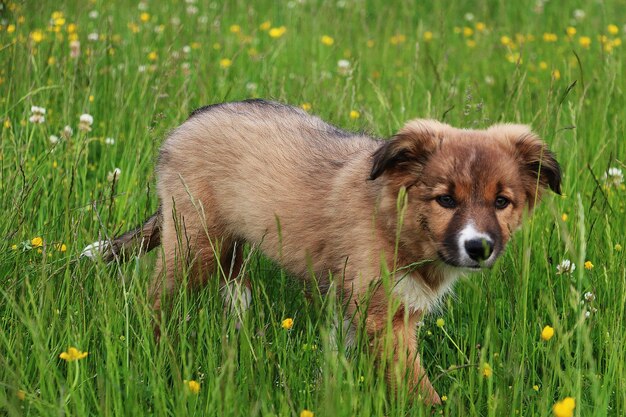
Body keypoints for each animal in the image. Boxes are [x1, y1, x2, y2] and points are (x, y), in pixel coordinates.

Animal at [81, 97, 556, 404]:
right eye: (445, 200)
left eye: (502, 202)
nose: (479, 247)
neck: (394, 220)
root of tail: (189, 122)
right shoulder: (383, 317)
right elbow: (417, 386)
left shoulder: (373, 308)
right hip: (193, 242)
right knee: (156, 300)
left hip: (226, 242)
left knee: (235, 290)